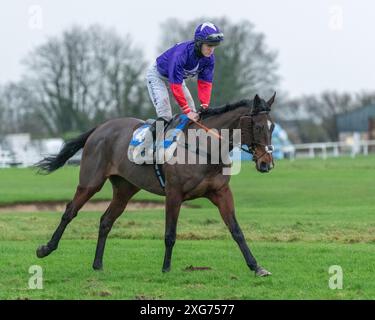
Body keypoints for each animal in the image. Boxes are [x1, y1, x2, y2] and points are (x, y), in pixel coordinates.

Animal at [36, 93, 276, 278]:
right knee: (70, 211)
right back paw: (46, 248)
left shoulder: (221, 192)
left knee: (106, 221)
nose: (267, 163)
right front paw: (166, 268)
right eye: (258, 126)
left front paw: (256, 266)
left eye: (272, 127)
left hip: (125, 189)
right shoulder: (174, 194)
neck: (205, 147)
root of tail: (101, 127)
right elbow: (170, 234)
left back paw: (97, 264)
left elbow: (236, 231)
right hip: (90, 182)